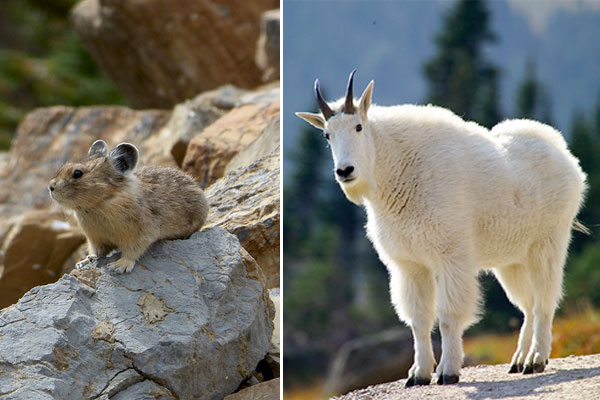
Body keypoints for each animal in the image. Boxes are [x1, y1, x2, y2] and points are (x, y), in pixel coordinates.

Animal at [298, 70, 588, 386]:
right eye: (327, 135)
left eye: (359, 127)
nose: (345, 171)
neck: (395, 170)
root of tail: (566, 156)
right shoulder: (410, 265)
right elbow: (419, 319)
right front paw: (419, 374)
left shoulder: (451, 257)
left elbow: (448, 316)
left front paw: (448, 371)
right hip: (512, 260)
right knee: (527, 304)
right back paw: (519, 360)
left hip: (547, 244)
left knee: (544, 301)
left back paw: (536, 359)